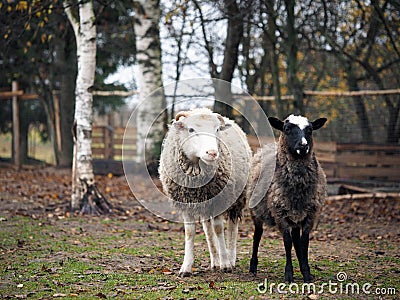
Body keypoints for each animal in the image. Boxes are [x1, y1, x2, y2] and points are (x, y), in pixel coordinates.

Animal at [159, 108, 250, 276]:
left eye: (217, 130)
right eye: (191, 129)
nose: (212, 153)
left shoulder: (219, 200)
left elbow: (219, 229)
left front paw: (225, 264)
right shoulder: (186, 203)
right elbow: (190, 232)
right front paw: (186, 267)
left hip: (237, 198)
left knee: (232, 227)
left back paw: (230, 258)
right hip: (206, 204)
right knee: (208, 229)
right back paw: (215, 261)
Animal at [250, 113, 328, 282]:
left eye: (310, 130)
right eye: (287, 129)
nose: (303, 145)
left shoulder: (310, 214)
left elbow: (303, 242)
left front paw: (306, 273)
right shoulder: (280, 213)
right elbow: (287, 242)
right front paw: (289, 274)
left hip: (296, 215)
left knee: (297, 240)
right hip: (256, 212)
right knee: (257, 235)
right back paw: (252, 267)